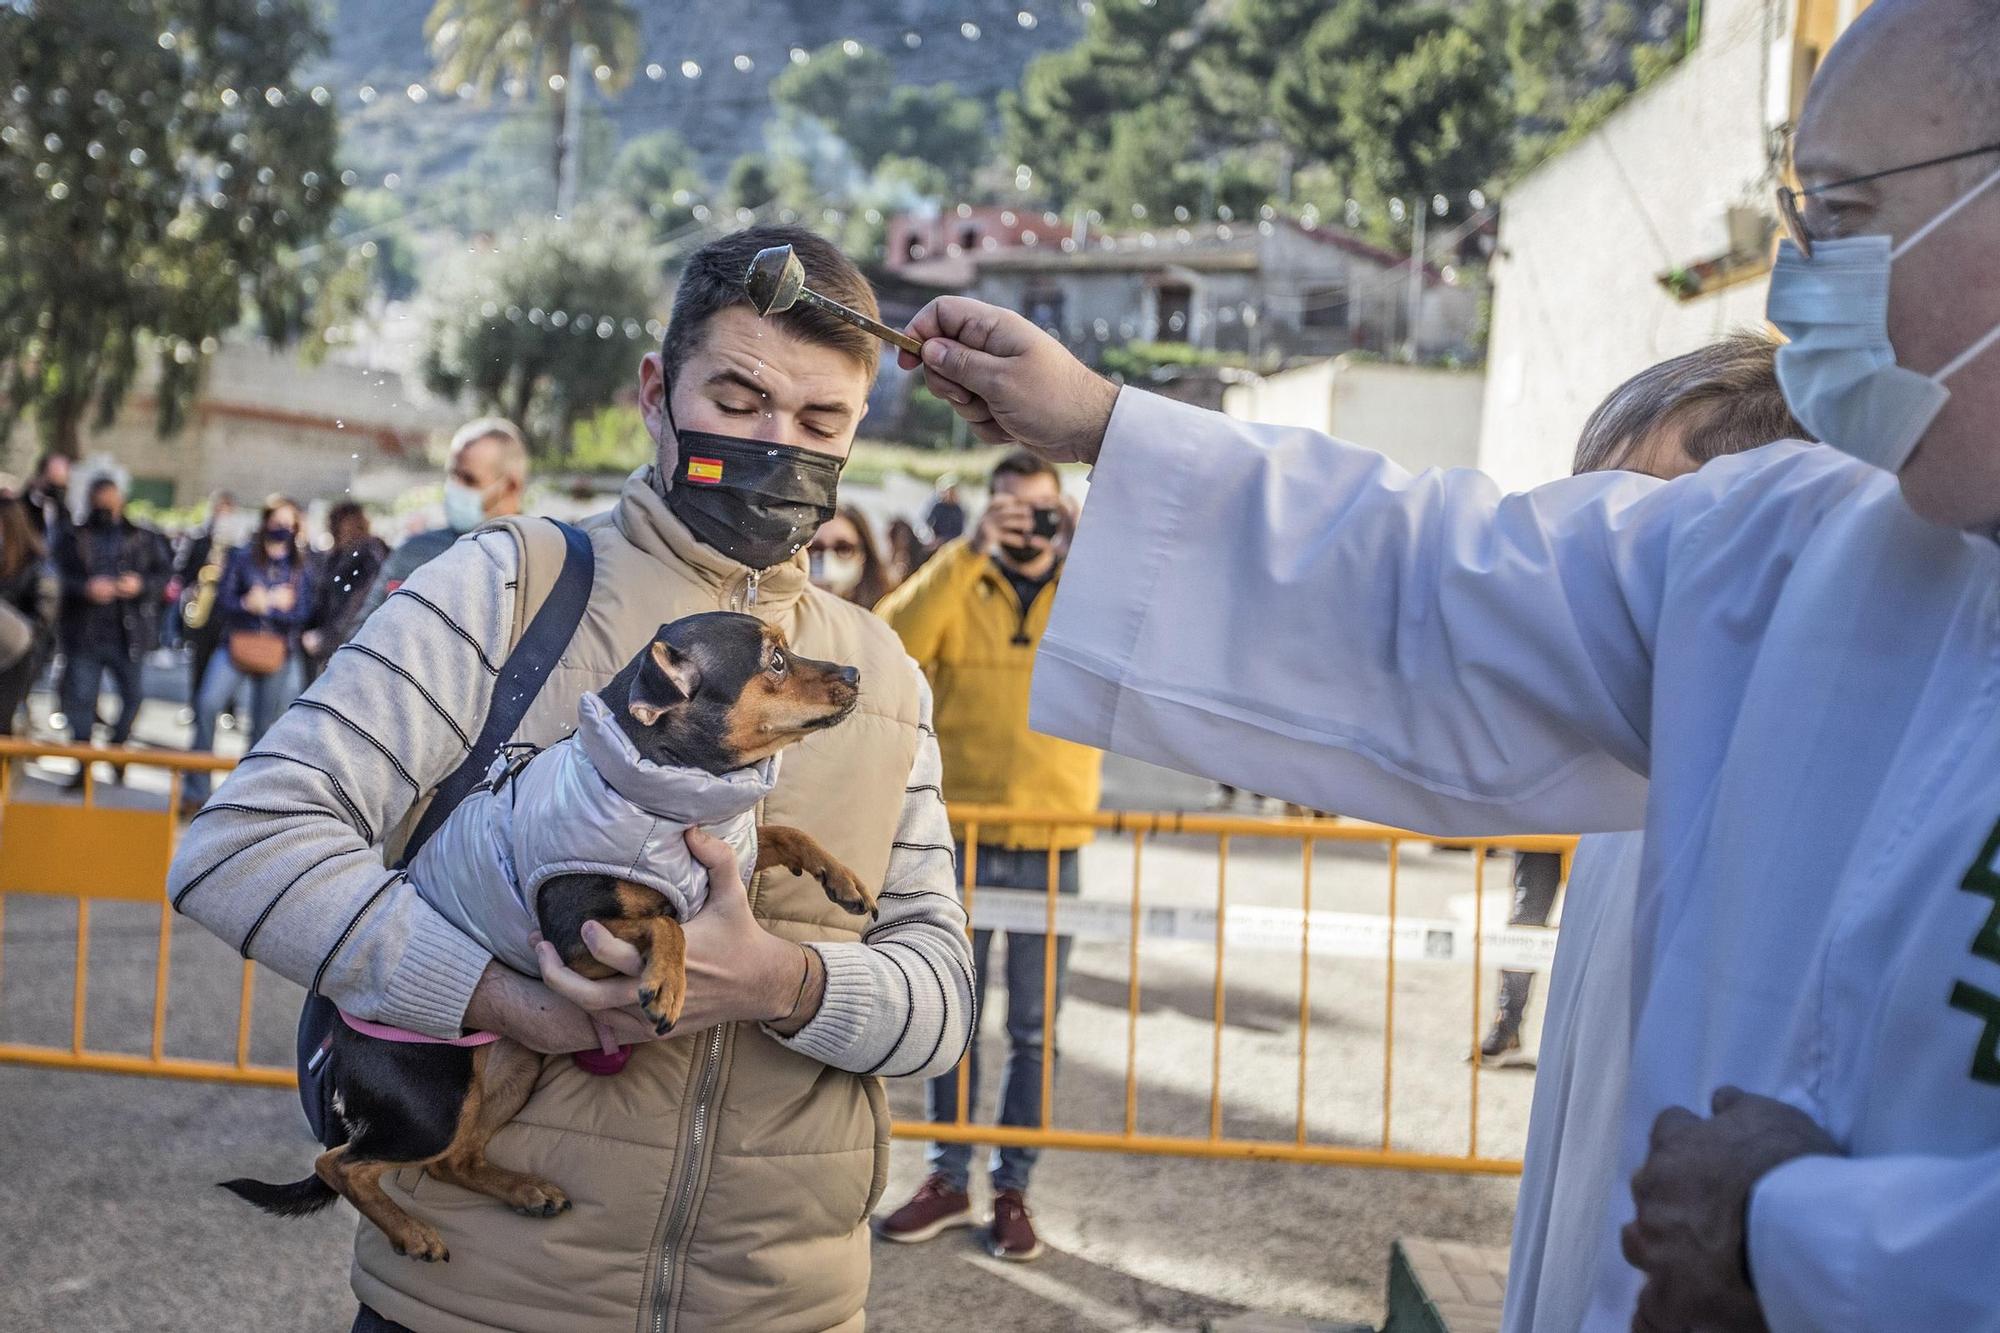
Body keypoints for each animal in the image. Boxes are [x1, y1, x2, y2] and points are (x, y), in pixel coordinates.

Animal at [223, 612, 872, 1256]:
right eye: (776, 662)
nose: (854, 672)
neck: (671, 795)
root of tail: (339, 1050)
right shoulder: (574, 939)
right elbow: (667, 922)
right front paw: (667, 983)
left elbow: (781, 834)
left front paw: (842, 877)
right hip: (435, 1101)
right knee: (342, 1164)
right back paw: (413, 1232)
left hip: (511, 1071)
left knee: (451, 1161)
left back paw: (525, 1191)